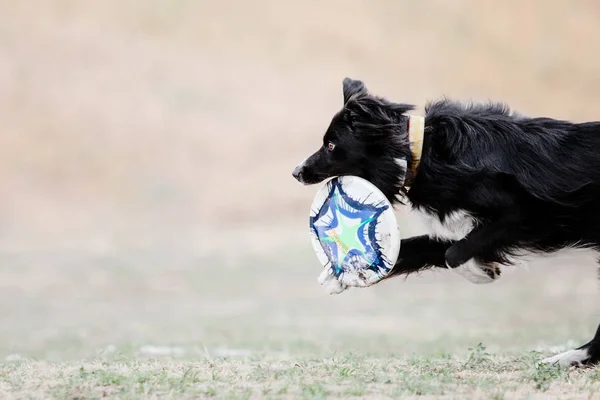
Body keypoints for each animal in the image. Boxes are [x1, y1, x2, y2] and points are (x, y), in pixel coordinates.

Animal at [292, 78, 600, 368]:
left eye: (331, 145)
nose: (296, 172)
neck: (419, 153)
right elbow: (424, 248)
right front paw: (337, 275)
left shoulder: (527, 213)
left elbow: (454, 254)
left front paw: (480, 271)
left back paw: (570, 357)